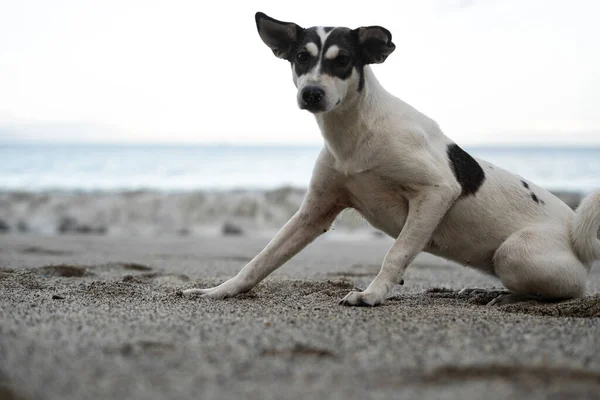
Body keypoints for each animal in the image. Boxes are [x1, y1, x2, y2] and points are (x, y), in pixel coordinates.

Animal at [182, 12, 600, 306]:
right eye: (301, 58)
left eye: (343, 61)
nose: (312, 93)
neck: (355, 133)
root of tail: (576, 236)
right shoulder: (313, 214)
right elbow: (261, 259)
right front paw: (220, 290)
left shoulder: (436, 191)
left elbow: (396, 253)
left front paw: (372, 294)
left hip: (515, 253)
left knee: (567, 292)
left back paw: (506, 296)